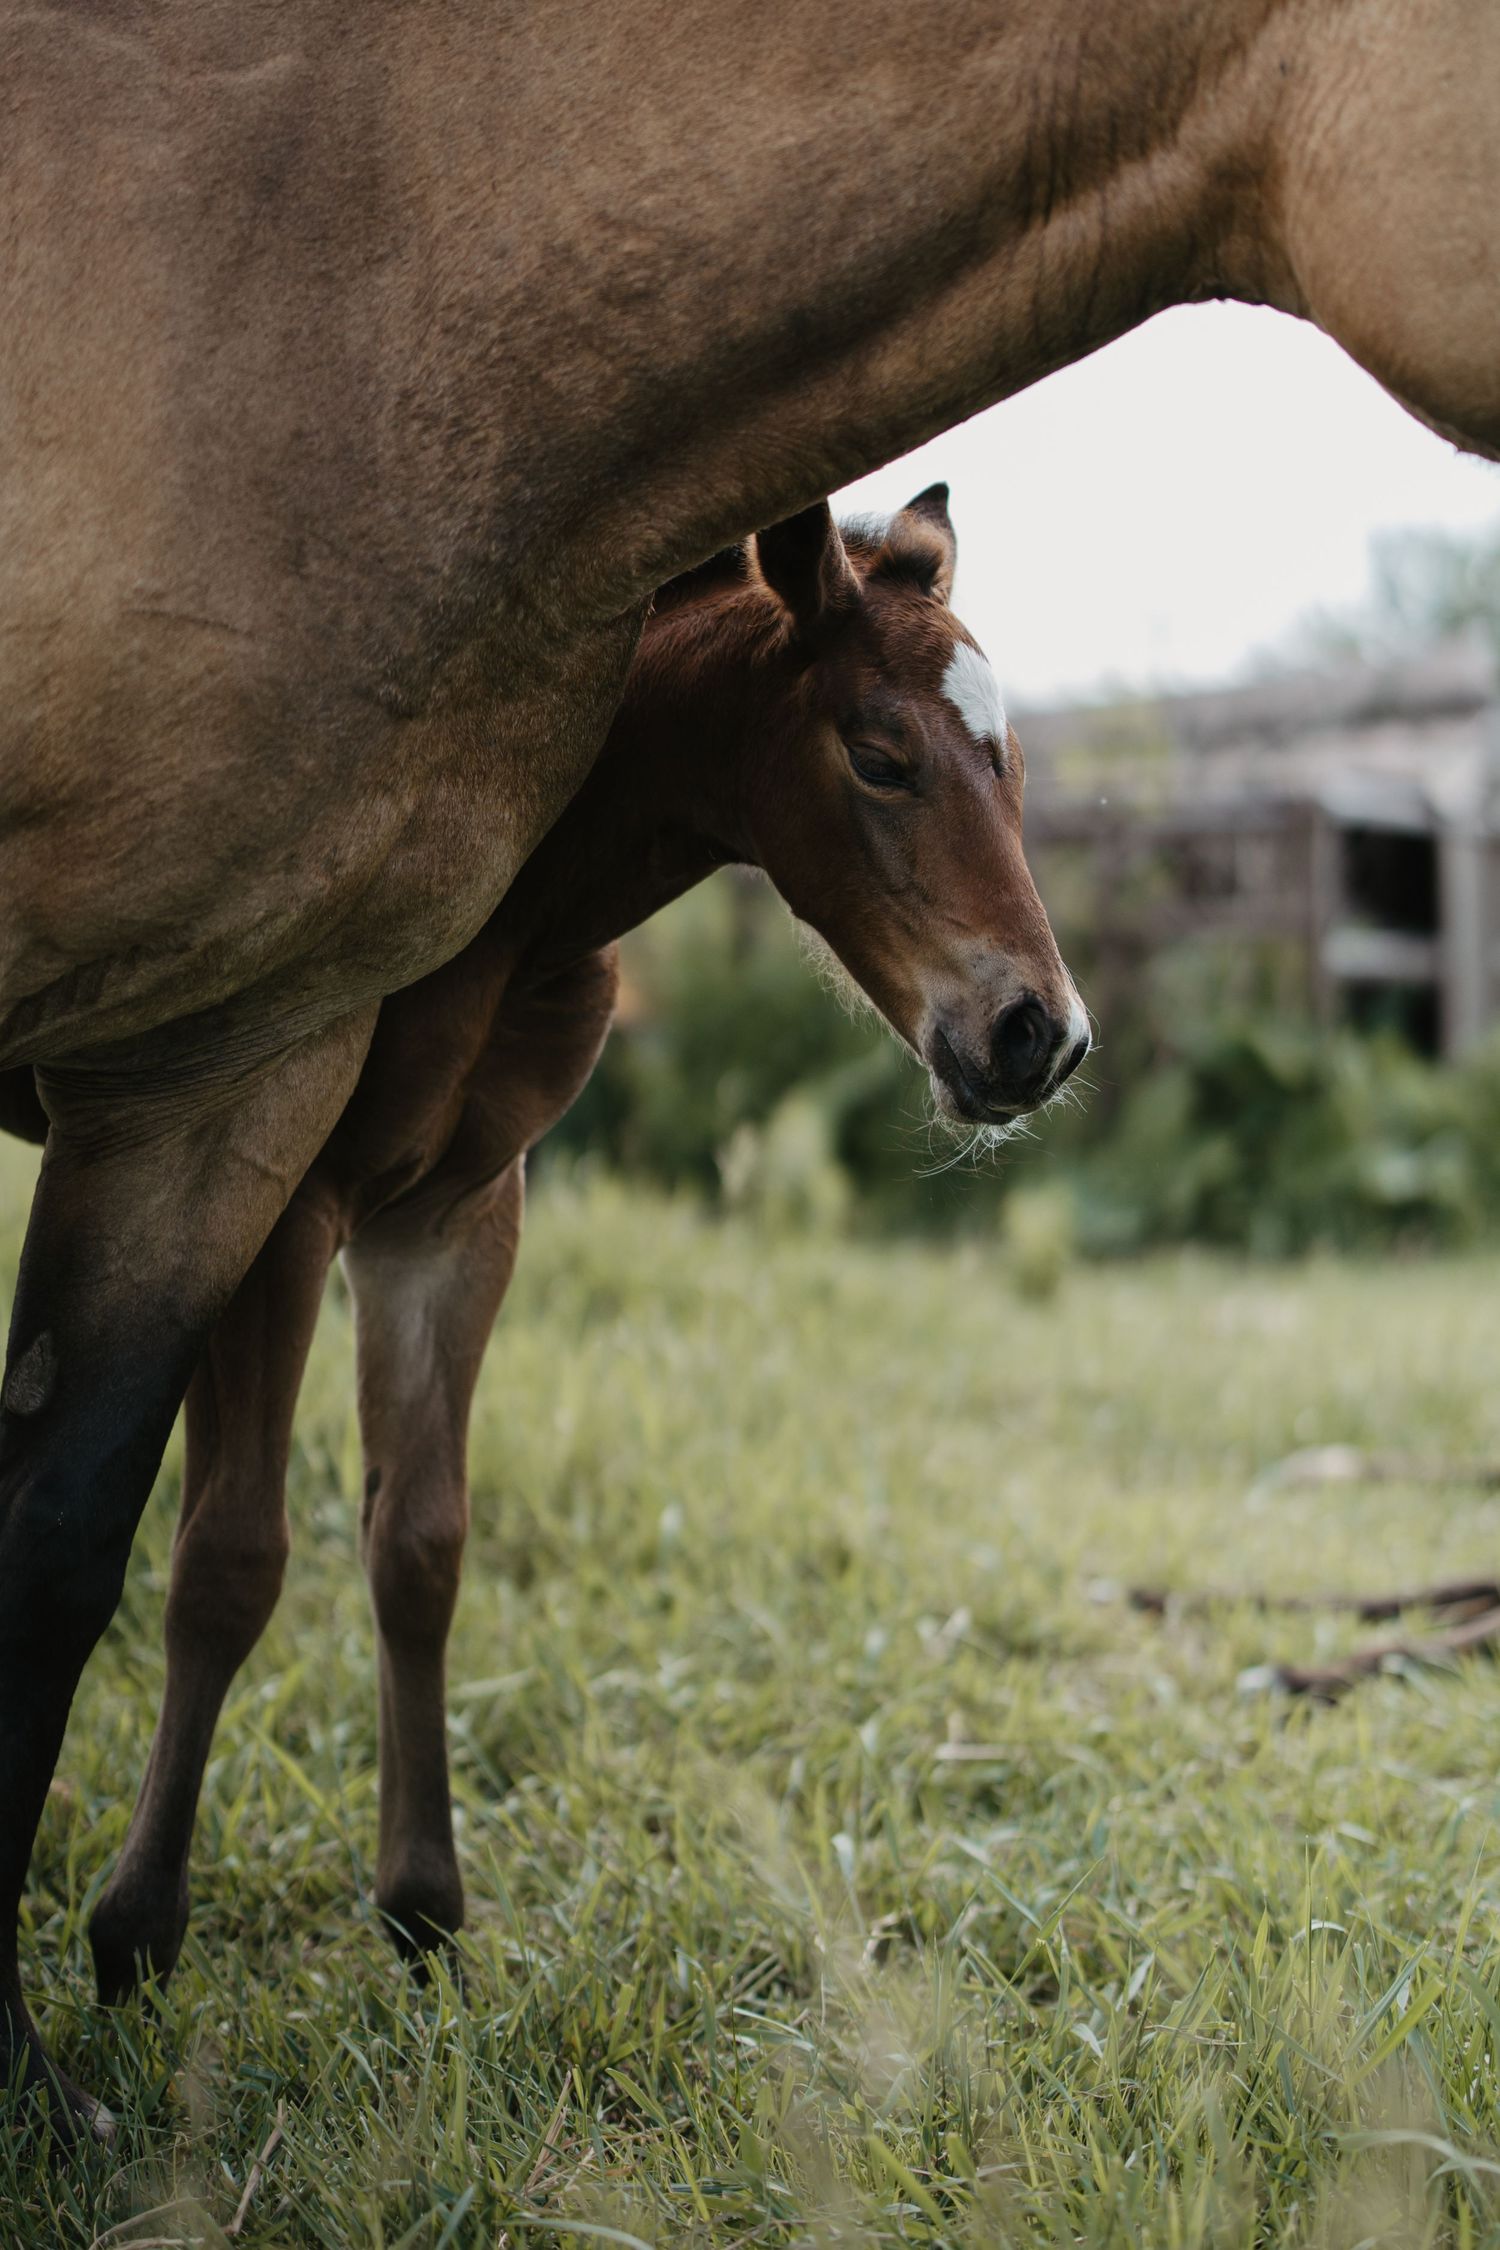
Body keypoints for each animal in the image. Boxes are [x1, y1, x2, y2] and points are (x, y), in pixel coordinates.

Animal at [2, 0, 1495, 2131]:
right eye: (878, 754)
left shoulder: (455, 1208)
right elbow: (219, 1556)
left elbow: (416, 1543)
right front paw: (133, 1937)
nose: (1037, 1032)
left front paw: (424, 1917)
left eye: (1014, 757)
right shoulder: (262, 1167)